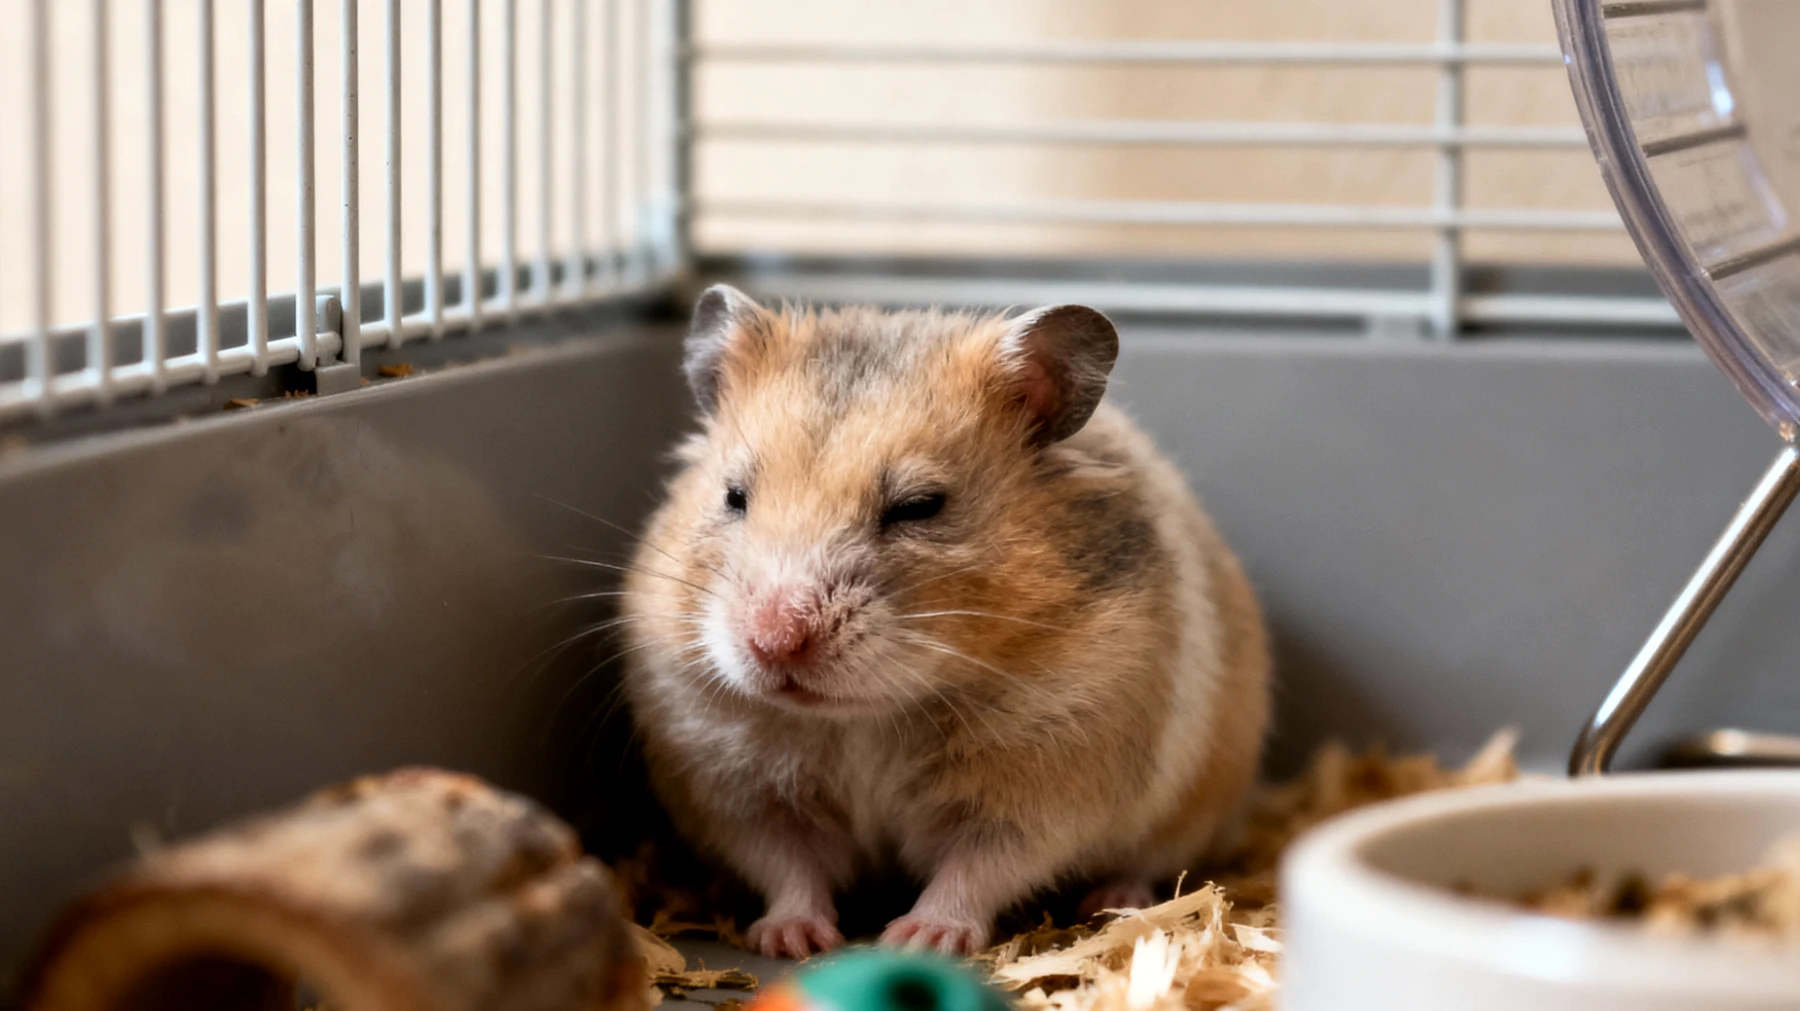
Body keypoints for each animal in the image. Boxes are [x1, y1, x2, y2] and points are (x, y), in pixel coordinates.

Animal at [620, 285, 1271, 958]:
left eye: (919, 507)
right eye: (733, 496)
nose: (775, 642)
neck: (866, 717)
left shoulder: (1043, 786)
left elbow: (977, 869)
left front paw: (918, 940)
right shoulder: (741, 791)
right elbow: (789, 866)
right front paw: (792, 941)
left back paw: (1114, 903)